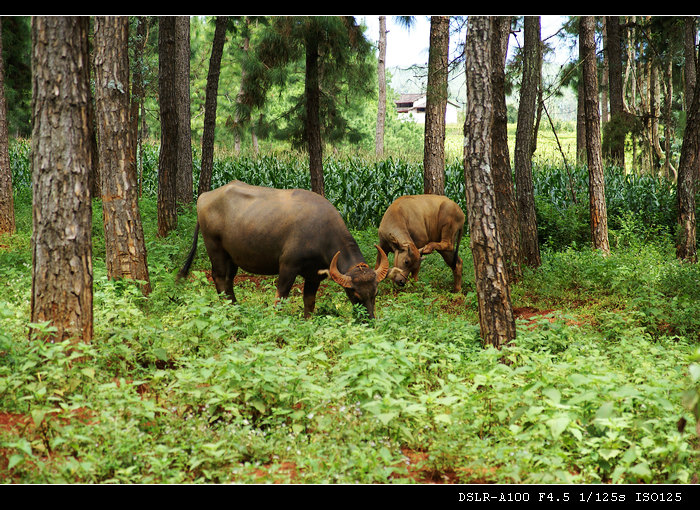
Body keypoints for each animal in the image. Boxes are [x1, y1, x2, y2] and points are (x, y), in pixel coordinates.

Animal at [178, 180, 392, 318]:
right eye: (355, 295)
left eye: (375, 294)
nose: (369, 320)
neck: (320, 231)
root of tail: (204, 197)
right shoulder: (288, 266)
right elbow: (280, 297)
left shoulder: (314, 275)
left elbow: (309, 302)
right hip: (215, 248)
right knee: (220, 277)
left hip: (233, 256)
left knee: (229, 280)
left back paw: (236, 307)